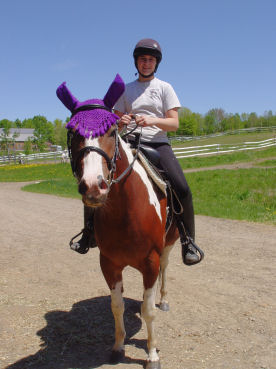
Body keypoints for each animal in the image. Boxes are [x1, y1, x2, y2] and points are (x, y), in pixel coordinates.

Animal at [56, 73, 179, 366]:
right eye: (73, 133)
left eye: (111, 132)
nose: (93, 186)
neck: (126, 211)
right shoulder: (109, 263)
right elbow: (116, 305)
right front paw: (118, 347)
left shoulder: (150, 261)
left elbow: (148, 310)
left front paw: (152, 354)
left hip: (169, 244)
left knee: (166, 270)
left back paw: (164, 299)